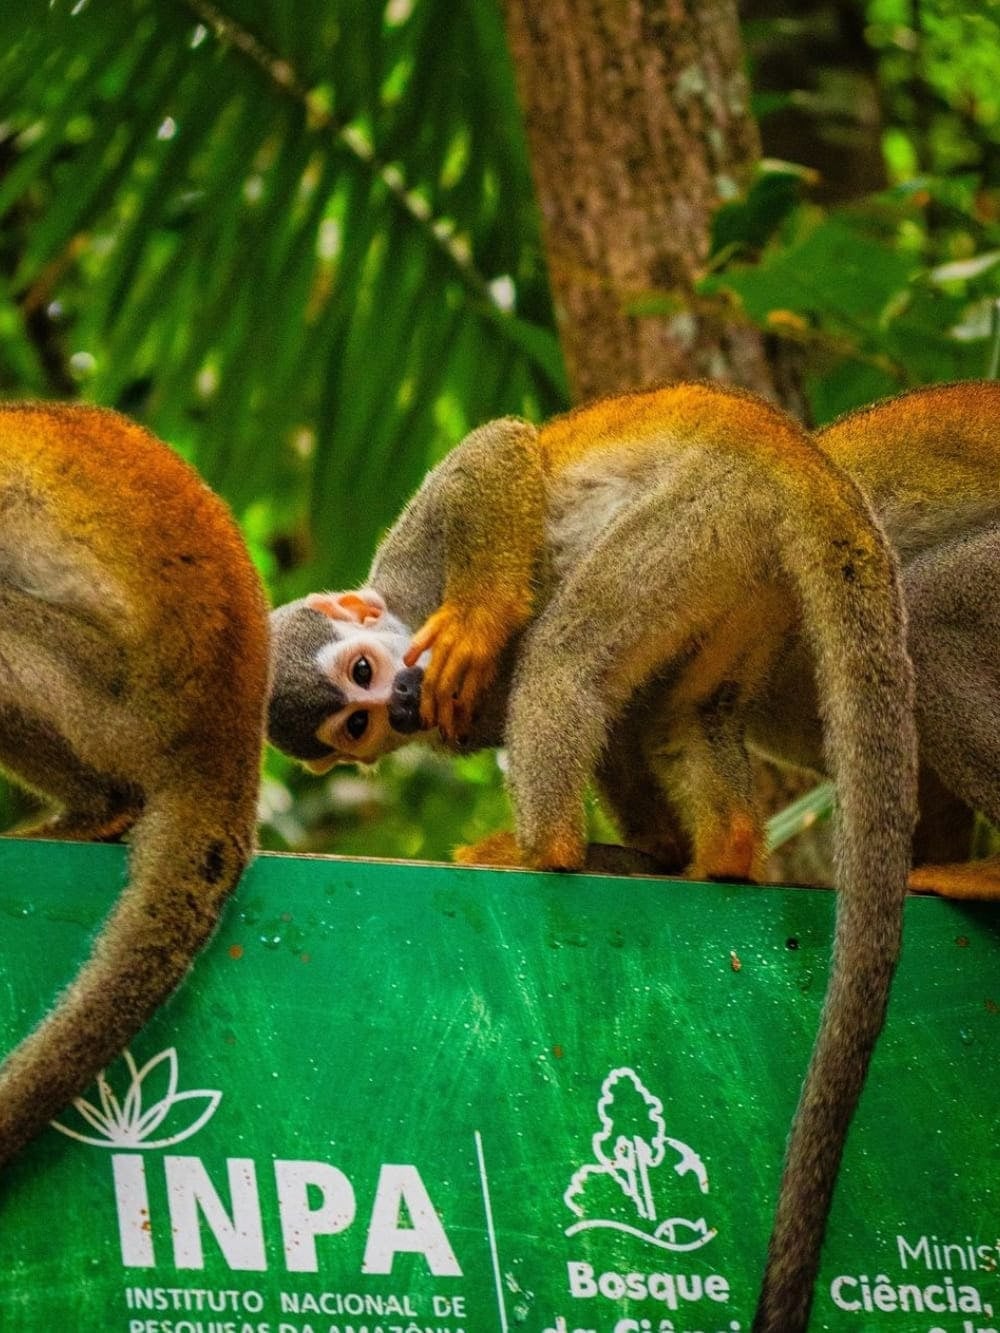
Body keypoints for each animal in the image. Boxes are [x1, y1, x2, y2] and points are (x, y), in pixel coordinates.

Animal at [268, 381, 920, 1333]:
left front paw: (481, 618)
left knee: (565, 656)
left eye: (361, 672)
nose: (396, 703)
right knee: (674, 707)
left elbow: (495, 455)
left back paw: (545, 853)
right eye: (355, 726)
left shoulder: (412, 575)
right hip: (745, 571)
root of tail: (789, 449)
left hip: (699, 513)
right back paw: (714, 858)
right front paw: (648, 848)